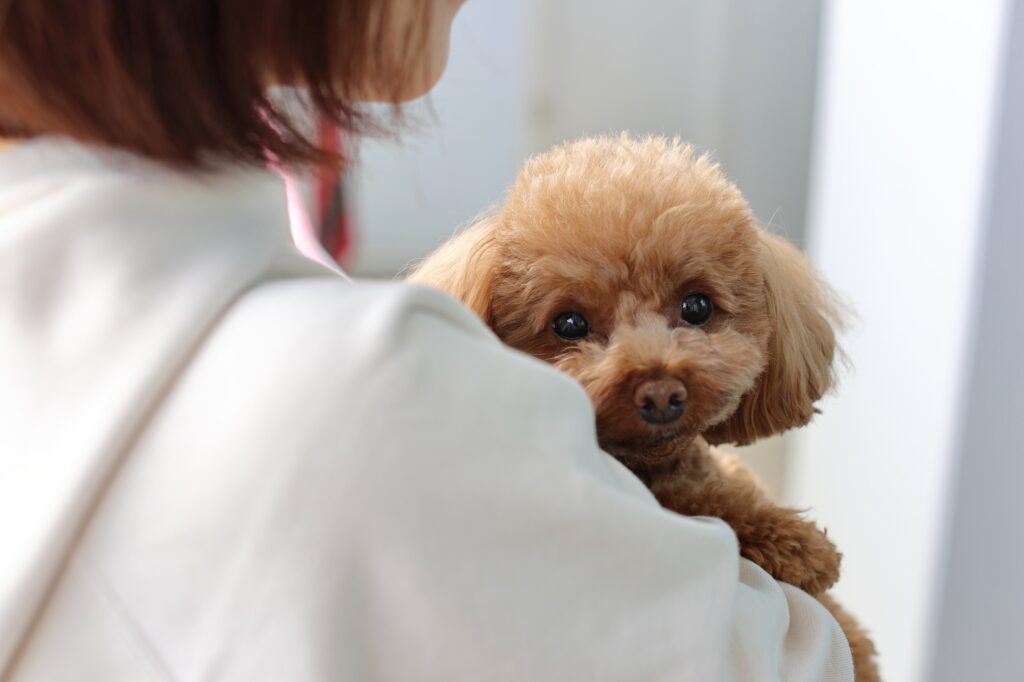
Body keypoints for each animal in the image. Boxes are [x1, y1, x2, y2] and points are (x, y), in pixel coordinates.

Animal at [407, 134, 880, 679]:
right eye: (568, 324)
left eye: (697, 306)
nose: (660, 394)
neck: (656, 465)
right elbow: (708, 504)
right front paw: (799, 544)